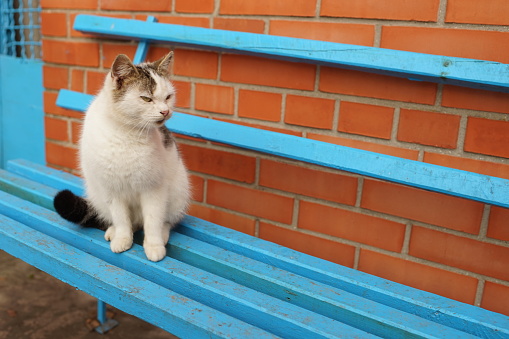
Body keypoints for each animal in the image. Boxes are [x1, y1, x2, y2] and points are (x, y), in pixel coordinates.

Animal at [53, 51, 190, 262]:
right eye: (146, 99)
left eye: (168, 97)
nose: (165, 111)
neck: (127, 133)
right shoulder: (111, 188)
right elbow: (121, 218)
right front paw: (122, 239)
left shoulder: (154, 188)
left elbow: (153, 220)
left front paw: (154, 245)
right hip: (97, 194)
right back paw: (113, 231)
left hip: (178, 192)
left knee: (166, 220)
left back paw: (162, 234)